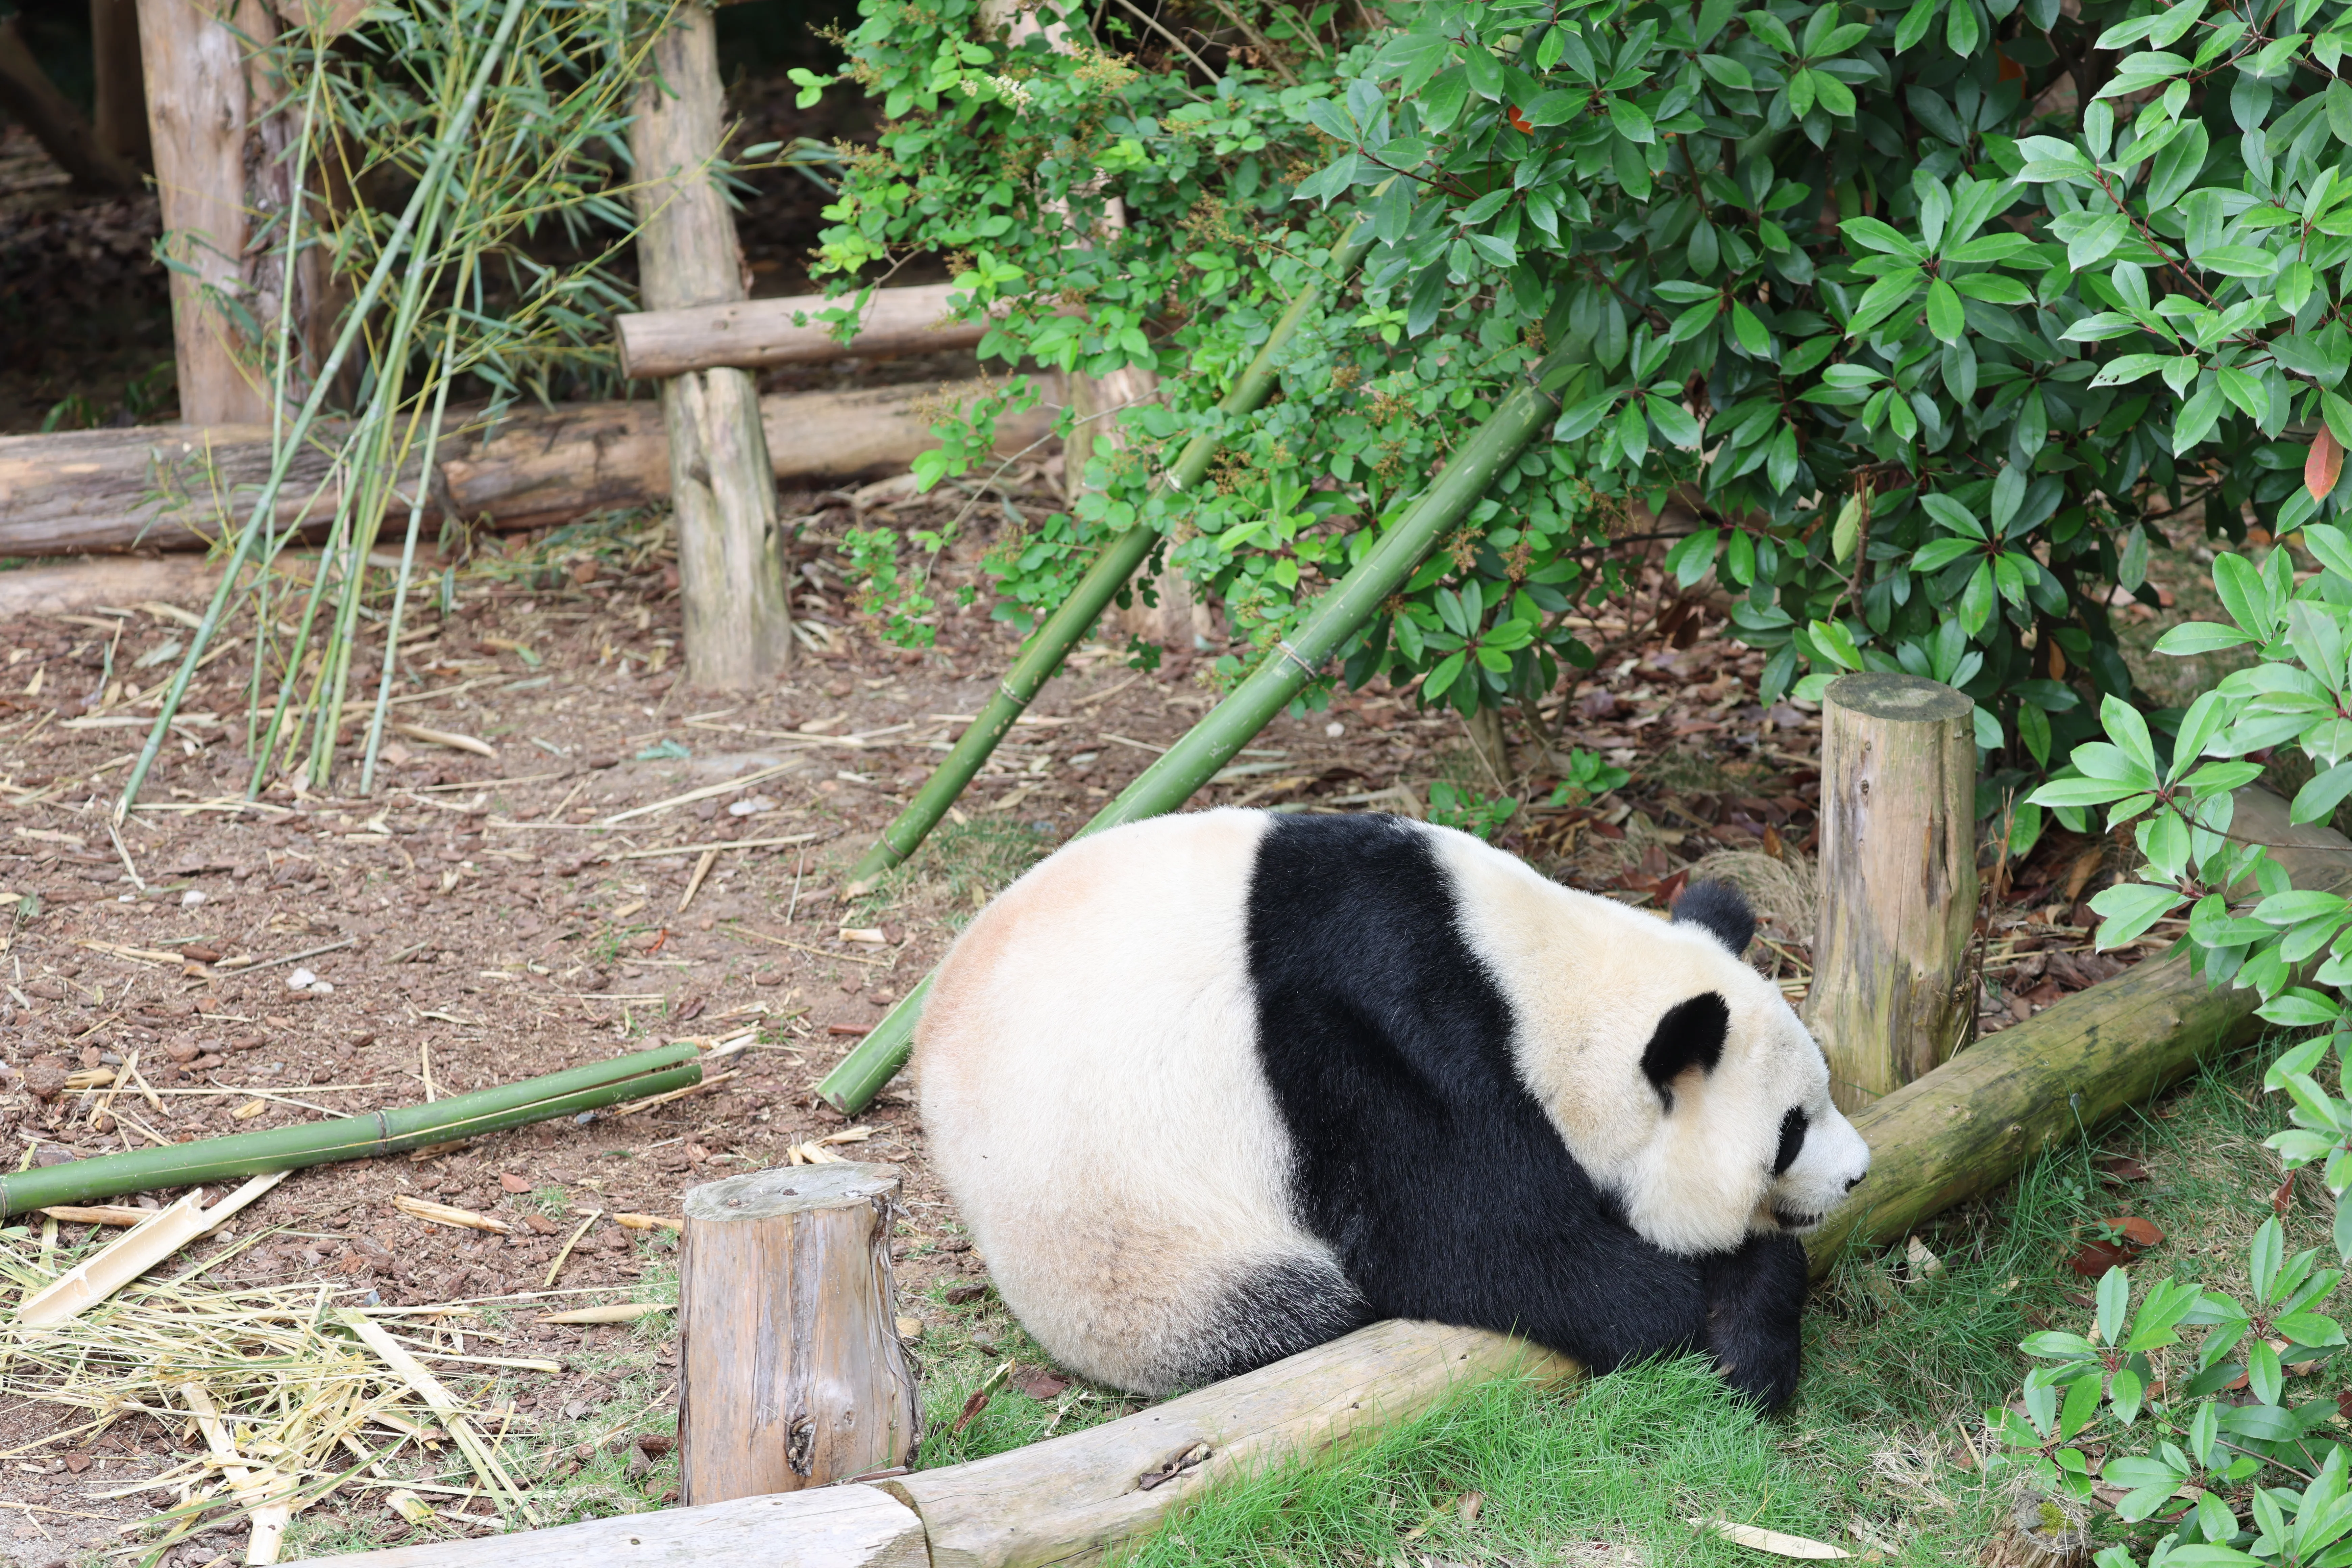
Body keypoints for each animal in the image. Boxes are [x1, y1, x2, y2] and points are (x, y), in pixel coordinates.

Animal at [914, 808, 1872, 1412]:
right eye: (1790, 1130)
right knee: (1289, 1304)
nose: (1858, 1174)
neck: (1534, 986)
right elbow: (1473, 1247)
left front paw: (1751, 1330)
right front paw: (1710, 1311)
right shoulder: (1378, 1040)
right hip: (1133, 1254)